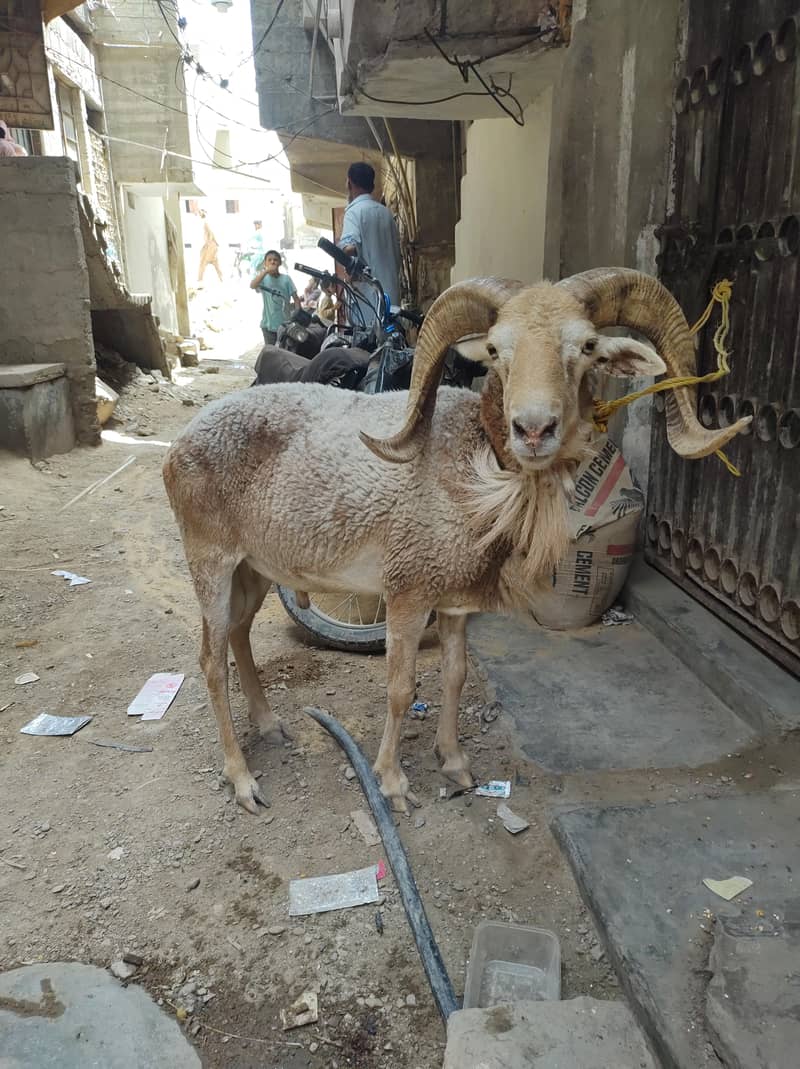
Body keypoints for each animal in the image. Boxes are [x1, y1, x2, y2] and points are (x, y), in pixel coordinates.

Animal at [163, 268, 750, 814]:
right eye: (494, 349)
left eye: (586, 346)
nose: (533, 429)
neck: (475, 473)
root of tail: (179, 446)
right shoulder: (406, 593)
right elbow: (401, 687)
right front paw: (393, 784)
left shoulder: (454, 603)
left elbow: (455, 676)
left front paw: (456, 765)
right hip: (210, 560)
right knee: (210, 660)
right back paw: (242, 780)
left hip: (254, 569)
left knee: (239, 636)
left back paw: (270, 726)